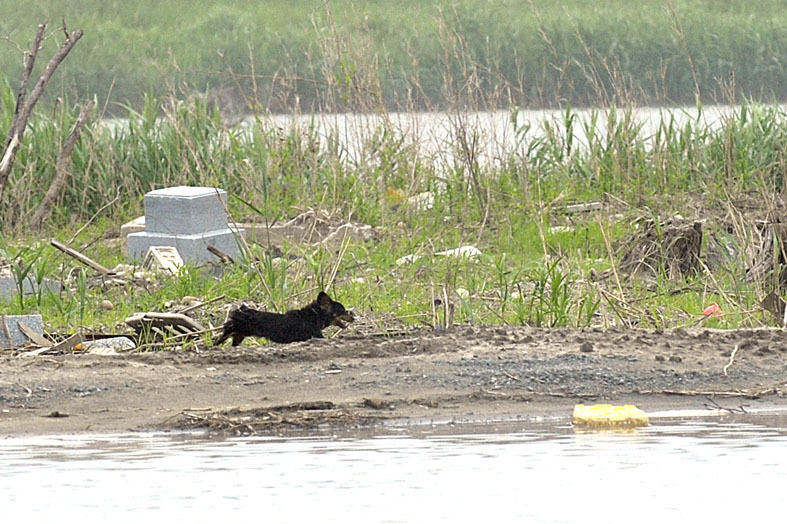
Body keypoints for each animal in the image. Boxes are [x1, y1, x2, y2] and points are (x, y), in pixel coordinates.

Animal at [212, 288, 354, 346]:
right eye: (343, 310)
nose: (353, 318)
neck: (315, 316)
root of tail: (240, 311)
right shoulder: (316, 335)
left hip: (239, 336)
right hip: (233, 331)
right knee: (220, 337)